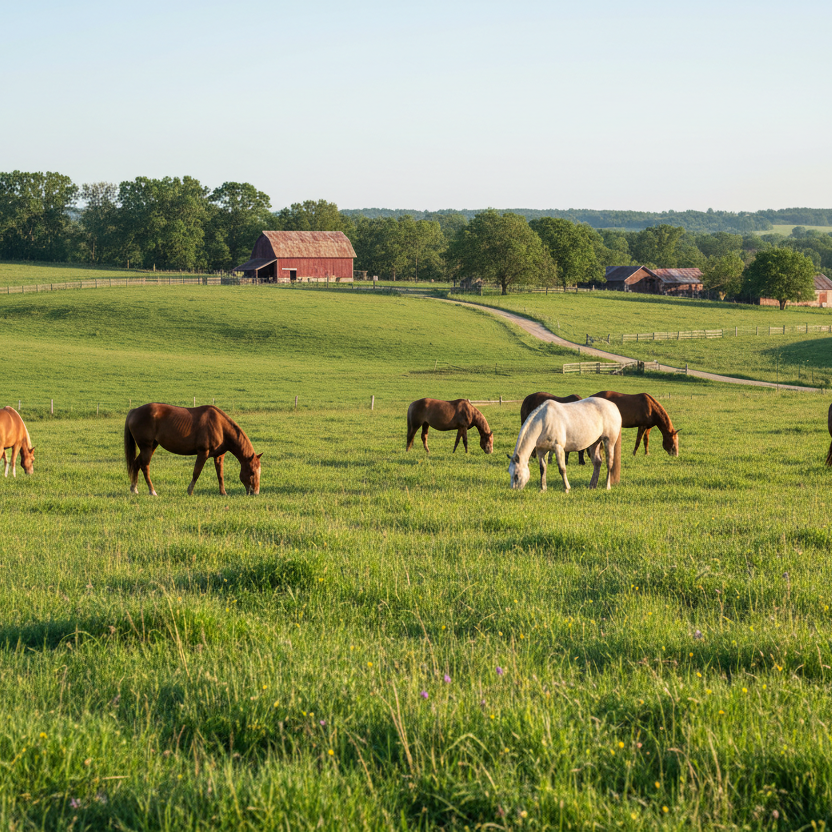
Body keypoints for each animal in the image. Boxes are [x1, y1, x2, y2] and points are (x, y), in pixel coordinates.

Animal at [124, 403, 263, 496]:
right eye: (252, 472)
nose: (255, 492)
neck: (220, 426)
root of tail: (134, 411)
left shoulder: (219, 456)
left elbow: (220, 475)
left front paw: (223, 493)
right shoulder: (203, 452)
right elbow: (196, 472)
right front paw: (190, 491)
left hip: (151, 446)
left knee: (136, 464)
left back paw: (134, 489)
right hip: (146, 447)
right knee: (144, 466)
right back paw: (152, 491)